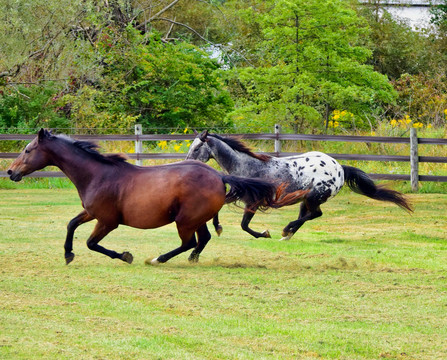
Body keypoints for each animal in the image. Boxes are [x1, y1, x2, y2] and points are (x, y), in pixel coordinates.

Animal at [7, 129, 308, 264]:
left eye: (28, 150)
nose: (10, 172)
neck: (98, 175)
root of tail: (219, 176)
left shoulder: (107, 221)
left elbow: (92, 244)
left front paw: (125, 255)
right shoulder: (92, 212)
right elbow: (71, 224)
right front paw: (68, 254)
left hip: (184, 221)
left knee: (189, 242)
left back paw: (158, 259)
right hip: (196, 219)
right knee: (202, 240)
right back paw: (192, 259)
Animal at [186, 131, 412, 240]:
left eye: (197, 148)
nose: (186, 163)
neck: (246, 165)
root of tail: (340, 167)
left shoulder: (253, 201)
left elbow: (244, 225)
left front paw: (264, 233)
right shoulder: (238, 195)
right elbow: (220, 207)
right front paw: (218, 228)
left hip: (314, 197)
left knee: (314, 214)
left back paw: (286, 230)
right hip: (306, 199)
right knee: (308, 216)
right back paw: (287, 235)